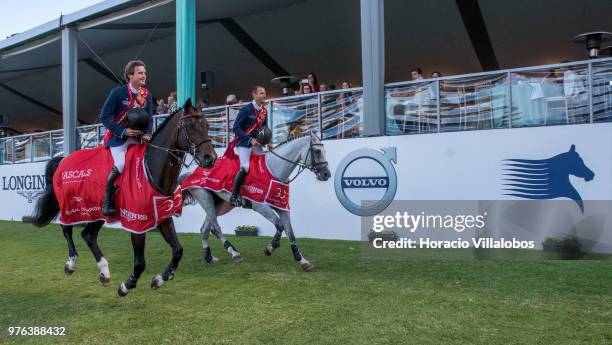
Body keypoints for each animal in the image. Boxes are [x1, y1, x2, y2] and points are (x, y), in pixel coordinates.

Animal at [182, 130, 330, 270]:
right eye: (317, 151)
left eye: (324, 151)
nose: (326, 174)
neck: (274, 170)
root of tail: (197, 169)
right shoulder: (260, 206)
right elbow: (280, 226)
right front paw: (270, 248)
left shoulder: (282, 207)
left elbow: (290, 232)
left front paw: (302, 260)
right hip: (205, 198)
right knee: (216, 227)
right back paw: (234, 253)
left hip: (217, 203)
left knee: (205, 228)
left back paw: (209, 257)